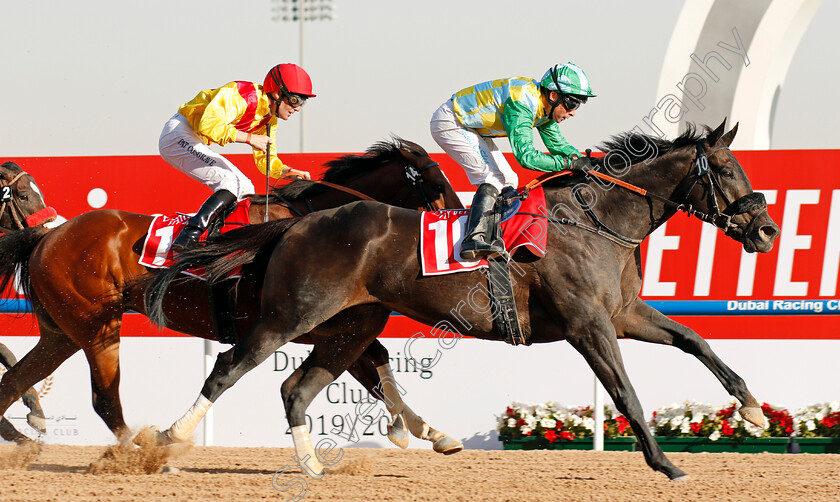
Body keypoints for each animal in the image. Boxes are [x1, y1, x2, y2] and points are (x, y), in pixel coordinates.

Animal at [0, 138, 460, 452]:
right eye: (438, 183)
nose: (459, 228)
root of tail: (47, 236)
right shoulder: (303, 324)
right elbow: (370, 366)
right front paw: (414, 429)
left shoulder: (333, 325)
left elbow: (377, 366)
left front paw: (427, 431)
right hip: (98, 326)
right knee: (105, 400)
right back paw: (149, 452)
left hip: (62, 332)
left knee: (12, 382)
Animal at [148, 119, 776, 480]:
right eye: (724, 170)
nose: (767, 231)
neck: (596, 222)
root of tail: (298, 222)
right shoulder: (588, 325)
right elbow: (626, 391)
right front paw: (666, 463)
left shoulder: (621, 314)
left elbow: (694, 339)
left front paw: (751, 408)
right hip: (289, 315)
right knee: (230, 367)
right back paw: (169, 440)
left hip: (349, 325)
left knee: (296, 387)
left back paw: (311, 465)